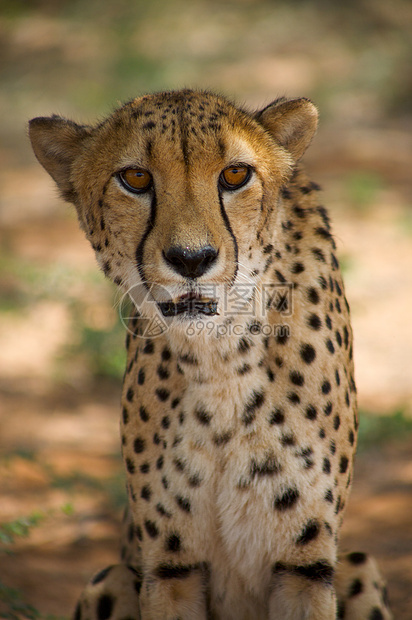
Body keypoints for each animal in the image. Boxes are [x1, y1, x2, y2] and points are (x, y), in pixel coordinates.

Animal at [29, 91, 392, 620]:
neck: (220, 359)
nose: (191, 259)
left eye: (236, 174)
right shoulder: (170, 567)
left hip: (358, 566)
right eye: (135, 178)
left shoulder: (304, 564)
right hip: (111, 576)